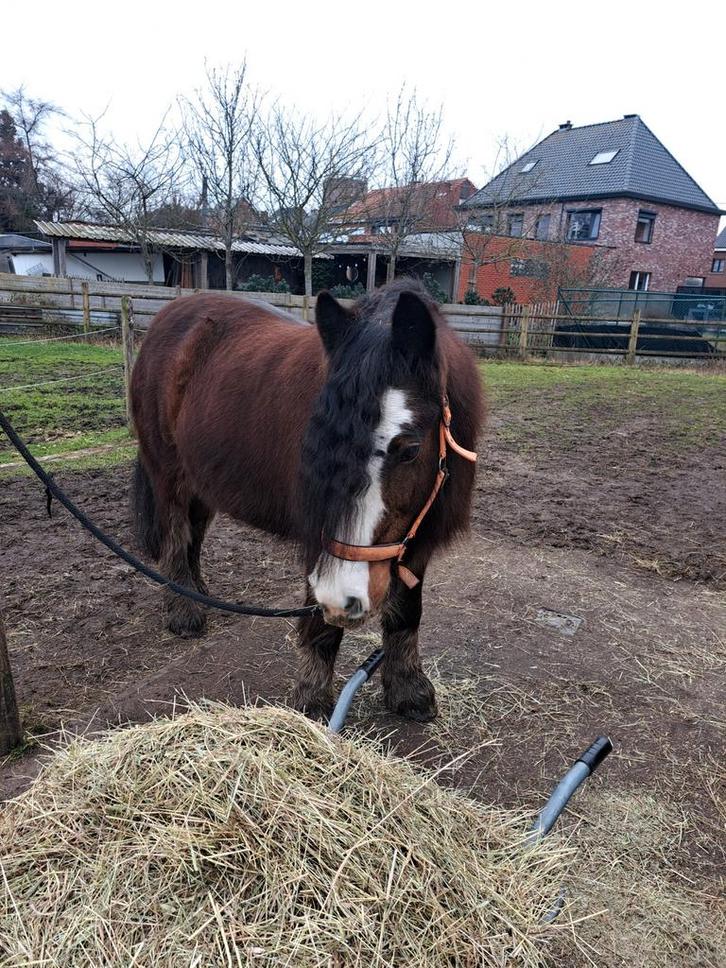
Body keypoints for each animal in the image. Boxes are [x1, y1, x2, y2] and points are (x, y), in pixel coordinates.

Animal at [130, 279, 484, 722]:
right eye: (317, 445)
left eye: (410, 449)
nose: (344, 597)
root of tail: (167, 317)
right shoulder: (320, 544)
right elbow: (320, 627)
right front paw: (312, 702)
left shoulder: (417, 540)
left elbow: (406, 615)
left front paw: (409, 691)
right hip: (169, 476)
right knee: (176, 536)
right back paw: (184, 612)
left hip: (201, 481)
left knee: (193, 533)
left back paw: (199, 592)